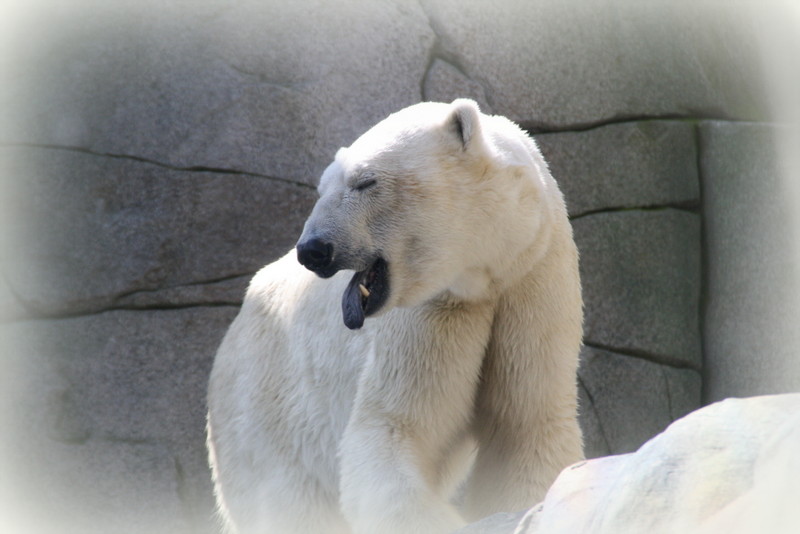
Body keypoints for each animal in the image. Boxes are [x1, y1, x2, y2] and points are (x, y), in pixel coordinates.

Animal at [206, 97, 580, 534]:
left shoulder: (532, 279)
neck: (484, 274)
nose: (312, 249)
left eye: (365, 182)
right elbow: (395, 428)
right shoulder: (433, 311)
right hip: (267, 415)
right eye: (322, 188)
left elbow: (525, 425)